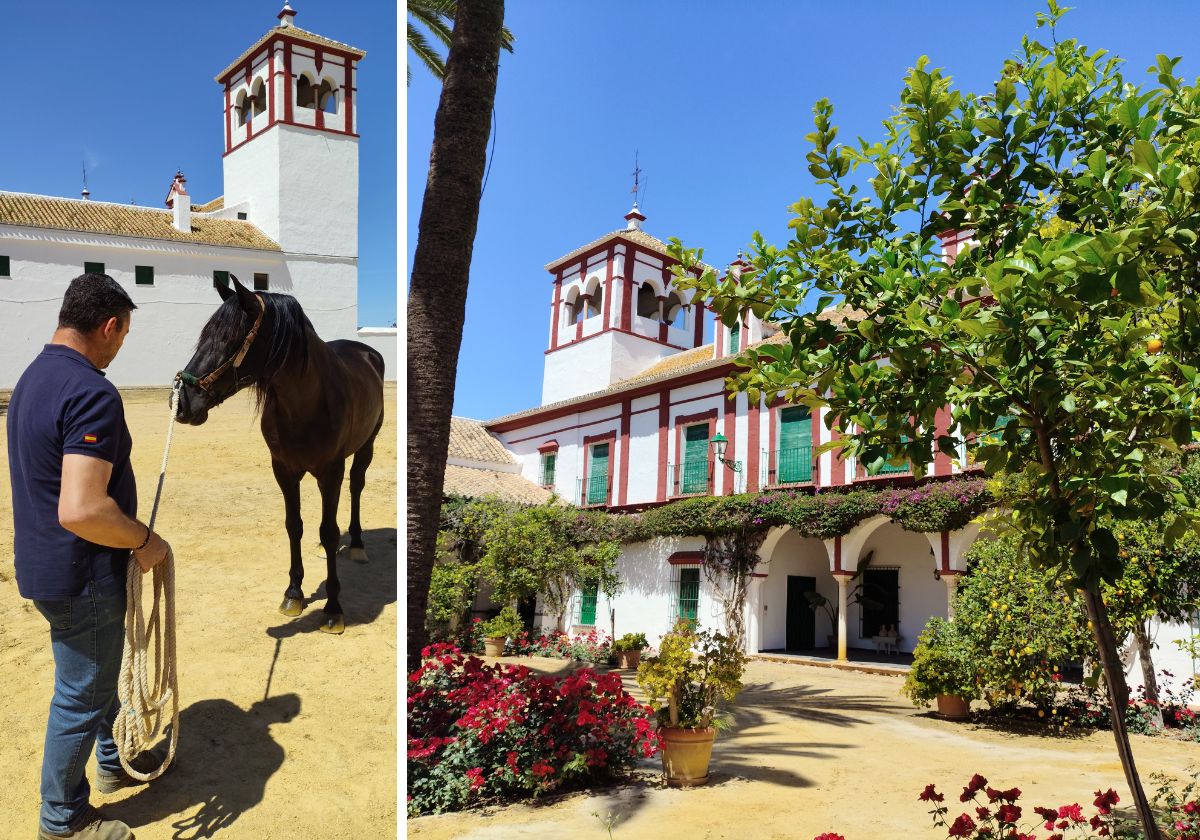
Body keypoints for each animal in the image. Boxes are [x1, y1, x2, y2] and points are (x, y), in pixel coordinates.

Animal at [175, 277, 384, 638]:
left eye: (229, 338)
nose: (183, 403)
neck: (306, 403)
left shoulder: (331, 471)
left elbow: (329, 530)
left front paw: (333, 609)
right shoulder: (284, 470)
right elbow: (294, 526)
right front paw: (293, 594)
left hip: (365, 447)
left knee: (356, 487)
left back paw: (356, 543)